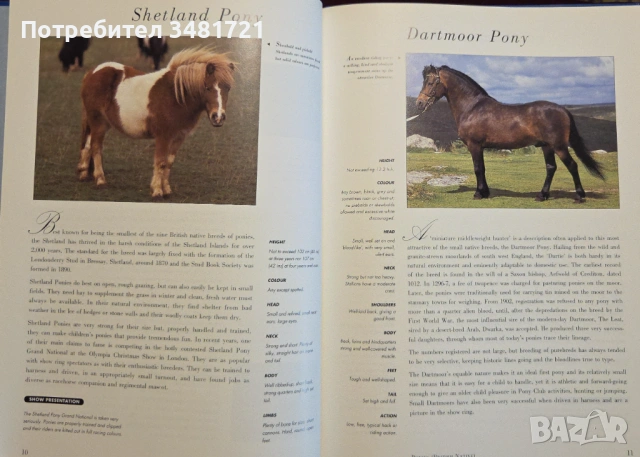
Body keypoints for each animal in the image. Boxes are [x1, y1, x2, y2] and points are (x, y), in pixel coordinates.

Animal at [78, 47, 235, 200]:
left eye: (228, 88)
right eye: (207, 87)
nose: (218, 117)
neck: (175, 95)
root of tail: (92, 73)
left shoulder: (178, 137)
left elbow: (169, 162)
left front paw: (167, 190)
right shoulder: (163, 137)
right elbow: (160, 162)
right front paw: (157, 191)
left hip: (102, 123)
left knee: (88, 144)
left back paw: (84, 174)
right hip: (97, 122)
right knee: (96, 147)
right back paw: (100, 180)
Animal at [416, 65, 604, 202]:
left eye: (430, 83)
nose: (419, 103)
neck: (472, 107)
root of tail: (563, 109)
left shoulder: (474, 145)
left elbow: (477, 168)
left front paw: (478, 194)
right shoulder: (480, 147)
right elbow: (482, 168)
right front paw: (485, 192)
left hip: (559, 146)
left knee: (572, 166)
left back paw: (579, 196)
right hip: (547, 147)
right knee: (551, 168)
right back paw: (542, 195)